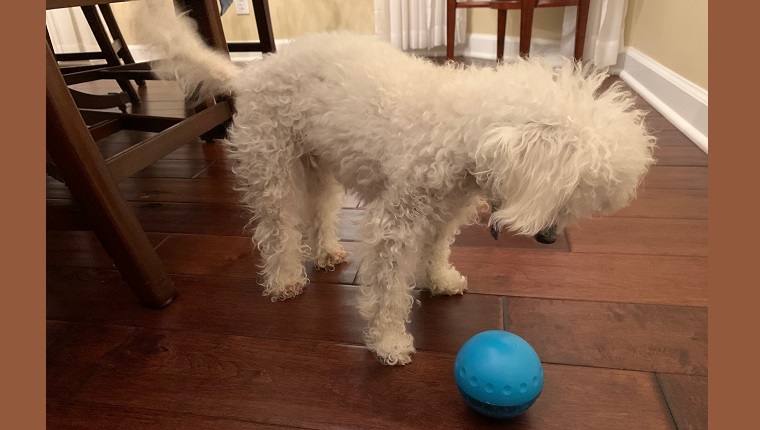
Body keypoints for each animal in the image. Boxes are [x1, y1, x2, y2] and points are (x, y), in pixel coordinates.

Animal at [135, 1, 652, 364]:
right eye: (571, 191)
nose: (548, 239)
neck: (461, 132)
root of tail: (252, 74)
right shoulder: (395, 224)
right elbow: (387, 291)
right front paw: (389, 342)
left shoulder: (443, 213)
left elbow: (437, 249)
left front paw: (440, 279)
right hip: (274, 167)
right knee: (277, 229)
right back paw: (284, 280)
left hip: (319, 166)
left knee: (320, 213)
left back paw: (327, 252)